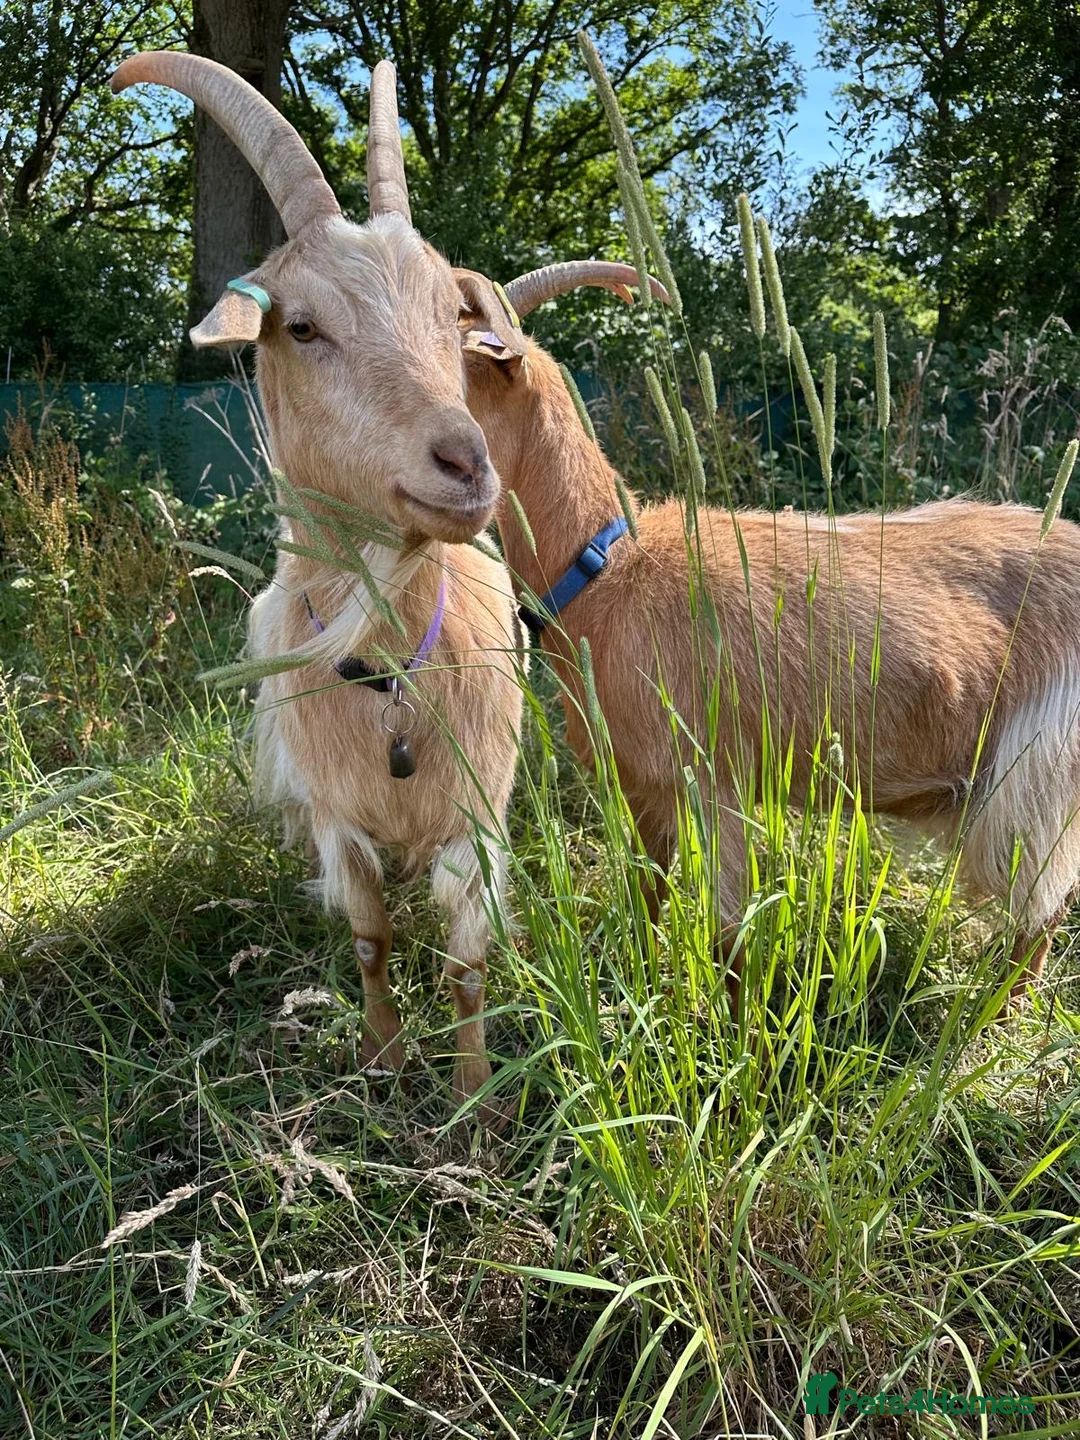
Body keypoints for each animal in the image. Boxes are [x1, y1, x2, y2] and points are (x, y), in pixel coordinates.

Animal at [113, 53, 523, 1117]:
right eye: (300, 326)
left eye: (450, 317)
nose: (466, 464)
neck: (390, 681)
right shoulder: (341, 819)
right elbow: (372, 937)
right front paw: (383, 1060)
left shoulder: (476, 816)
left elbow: (466, 964)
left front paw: (471, 1093)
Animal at [455, 261, 1080, 1006]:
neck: (609, 569)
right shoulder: (645, 788)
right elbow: (645, 892)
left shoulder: (715, 781)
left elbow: (728, 936)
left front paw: (737, 1027)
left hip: (1036, 771)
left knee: (1039, 909)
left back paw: (995, 1014)